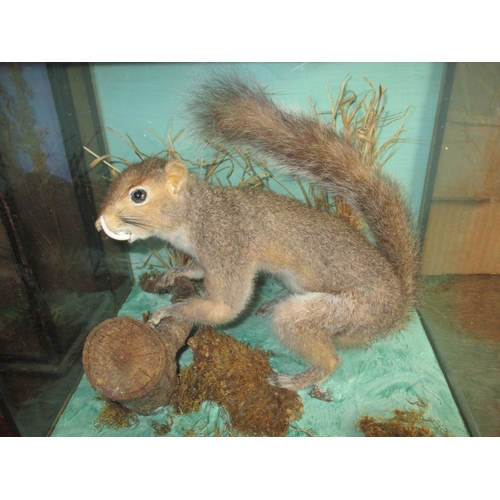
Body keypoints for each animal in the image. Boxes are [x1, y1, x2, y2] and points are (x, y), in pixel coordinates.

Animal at [95, 75, 420, 390]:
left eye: (138, 195)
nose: (100, 222)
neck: (200, 214)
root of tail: (398, 302)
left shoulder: (228, 245)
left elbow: (224, 307)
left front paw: (170, 312)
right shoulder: (209, 256)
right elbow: (197, 270)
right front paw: (175, 273)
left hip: (344, 312)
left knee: (328, 358)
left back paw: (294, 380)